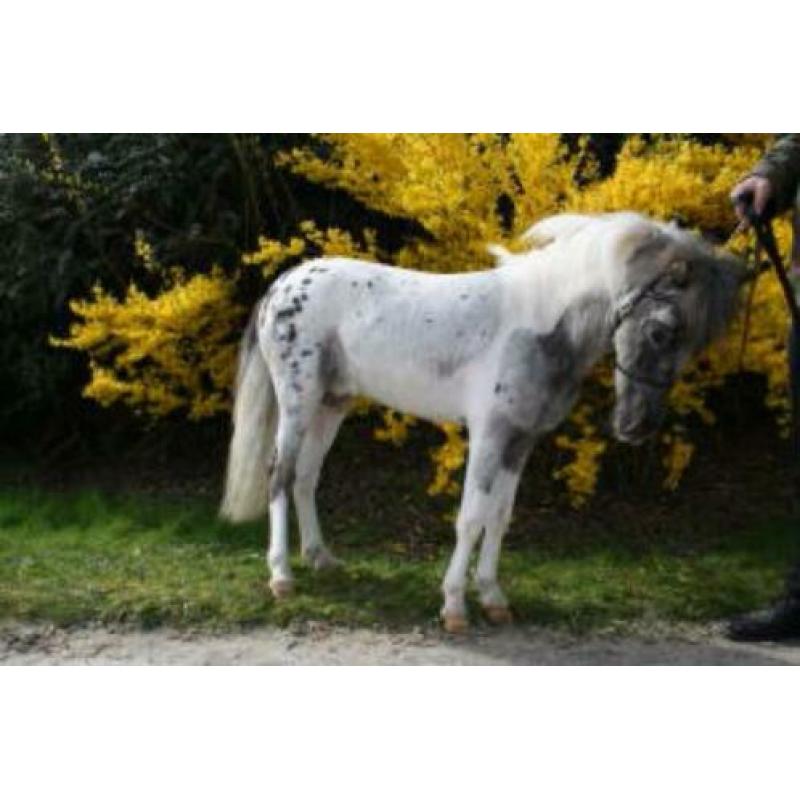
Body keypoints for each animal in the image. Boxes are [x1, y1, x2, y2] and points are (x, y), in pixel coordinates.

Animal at [220, 211, 747, 633]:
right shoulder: (490, 435)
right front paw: (455, 606)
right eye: (662, 331)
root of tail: (282, 285)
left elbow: (500, 516)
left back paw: (320, 558)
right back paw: (281, 576)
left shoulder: (521, 440)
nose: (636, 425)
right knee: (280, 474)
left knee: (307, 477)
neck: (540, 325)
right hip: (298, 402)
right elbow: (471, 516)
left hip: (332, 403)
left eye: (696, 344)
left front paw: (493, 599)